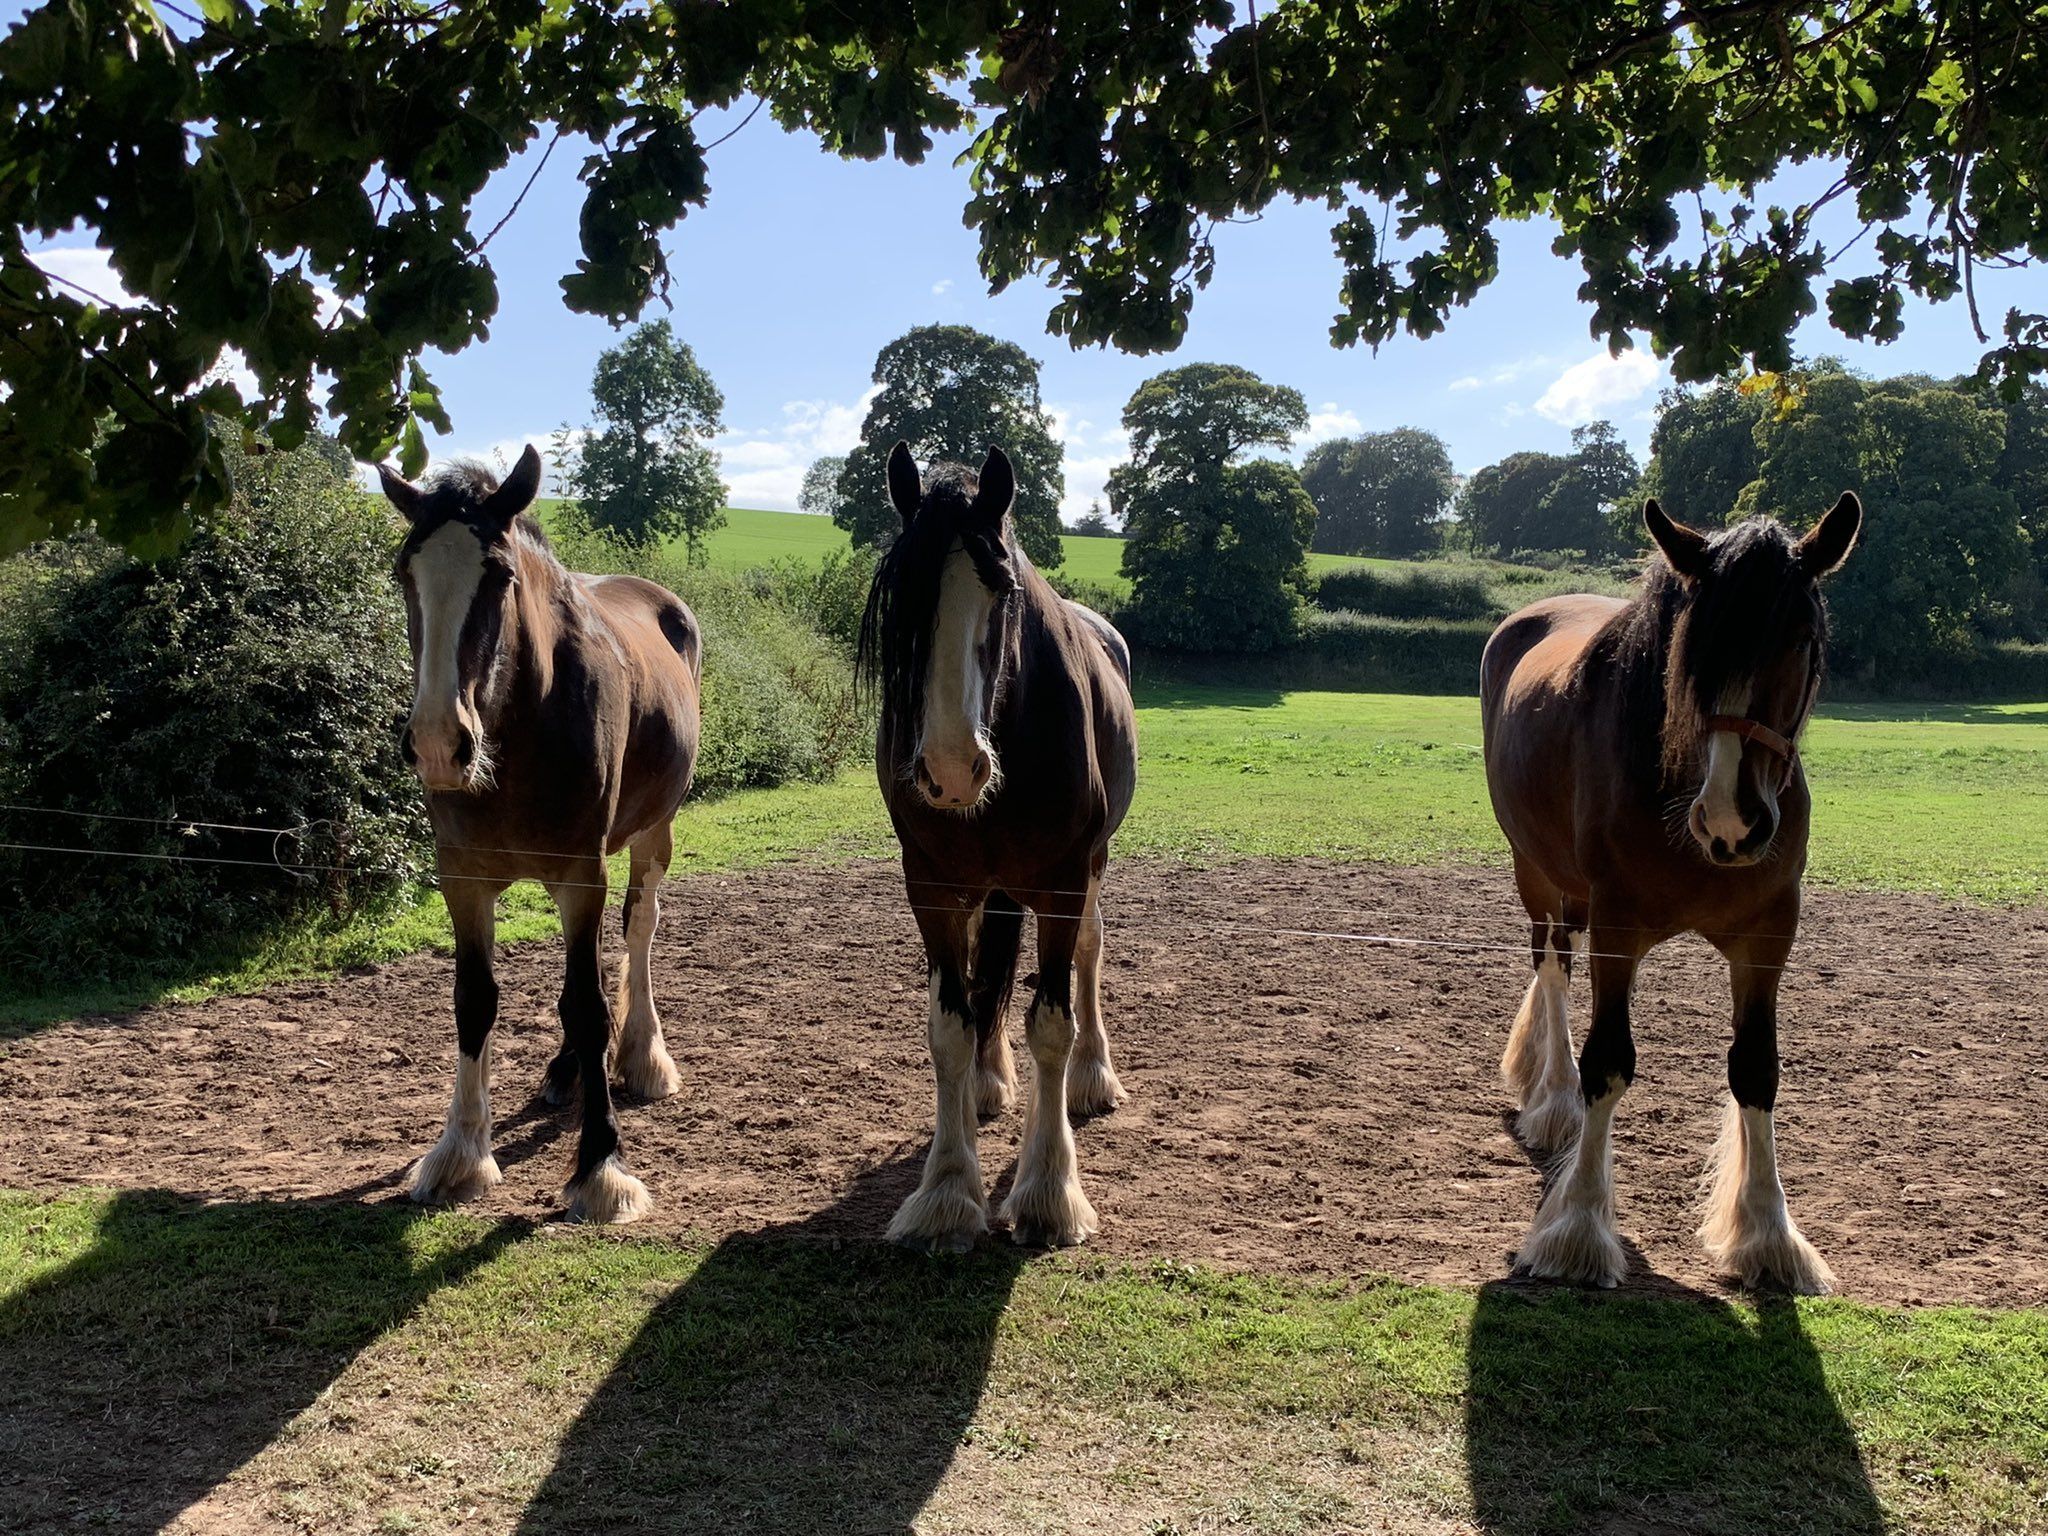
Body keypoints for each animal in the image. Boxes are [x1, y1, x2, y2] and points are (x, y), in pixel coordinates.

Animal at [376, 446, 702, 1224]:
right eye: (405, 573)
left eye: (498, 575)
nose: (439, 744)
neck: (523, 723)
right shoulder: (462, 878)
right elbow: (477, 1000)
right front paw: (461, 1153)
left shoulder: (581, 874)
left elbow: (586, 1003)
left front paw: (600, 1166)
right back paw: (567, 1071)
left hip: (652, 832)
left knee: (639, 928)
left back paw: (641, 1055)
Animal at [858, 442, 1139, 1251]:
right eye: (902, 595)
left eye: (1004, 589)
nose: (952, 768)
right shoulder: (931, 890)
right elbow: (950, 1026)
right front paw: (949, 1190)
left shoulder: (1066, 883)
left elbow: (1050, 1021)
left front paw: (1049, 1191)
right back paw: (988, 1083)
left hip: (1088, 874)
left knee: (1086, 959)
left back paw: (1091, 1077)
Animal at [1479, 491, 1862, 1293]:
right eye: (1694, 642)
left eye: (1801, 636)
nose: (1731, 820)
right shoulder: (1618, 927)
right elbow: (1607, 1063)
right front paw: (1579, 1229)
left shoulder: (1768, 934)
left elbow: (1756, 1069)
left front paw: (1768, 1235)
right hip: (1539, 875)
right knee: (1552, 965)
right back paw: (1553, 1099)